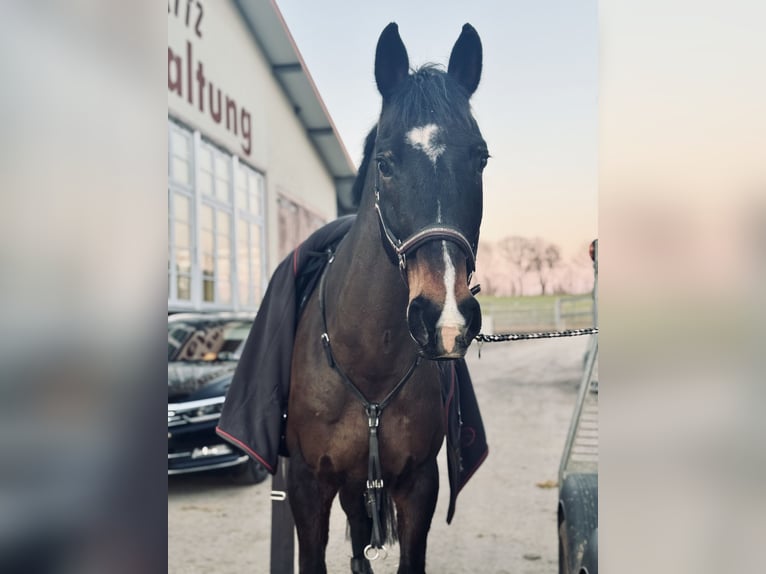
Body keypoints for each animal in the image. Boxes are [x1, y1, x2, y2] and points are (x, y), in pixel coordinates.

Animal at [286, 22, 488, 574]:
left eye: (480, 157)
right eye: (385, 162)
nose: (444, 317)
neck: (367, 367)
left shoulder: (418, 486)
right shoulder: (307, 488)